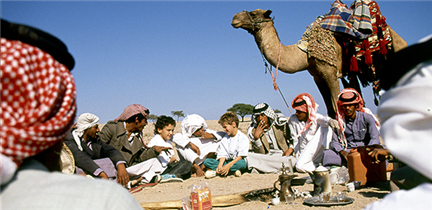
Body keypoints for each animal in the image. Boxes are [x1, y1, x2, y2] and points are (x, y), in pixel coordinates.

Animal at [231, 9, 406, 118]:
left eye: (253, 13)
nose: (234, 18)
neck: (305, 53)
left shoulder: (330, 72)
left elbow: (337, 107)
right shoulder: (317, 76)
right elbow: (330, 110)